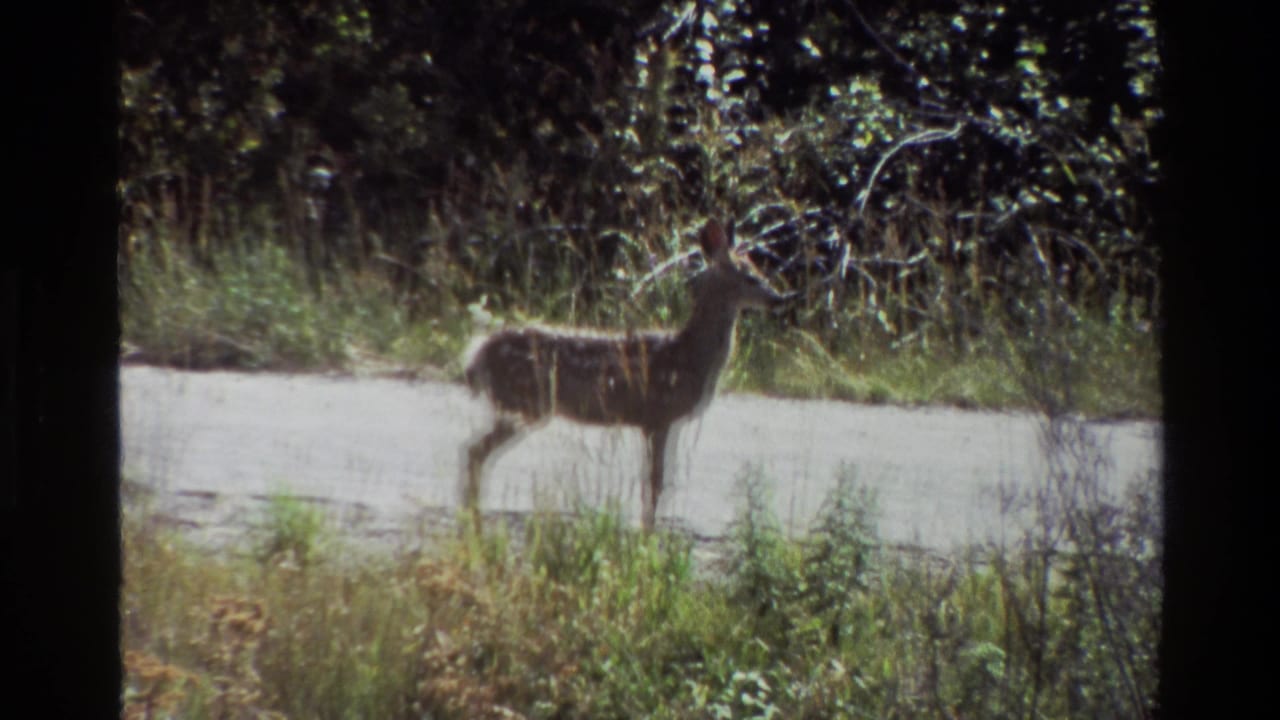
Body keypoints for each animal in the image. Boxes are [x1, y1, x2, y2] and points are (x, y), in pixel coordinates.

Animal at [462, 218, 788, 531]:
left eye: (758, 269)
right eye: (748, 276)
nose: (778, 299)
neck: (689, 356)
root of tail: (478, 355)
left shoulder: (659, 421)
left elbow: (657, 482)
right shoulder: (657, 415)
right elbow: (655, 483)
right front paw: (647, 534)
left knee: (475, 451)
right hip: (527, 403)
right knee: (474, 451)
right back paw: (474, 521)